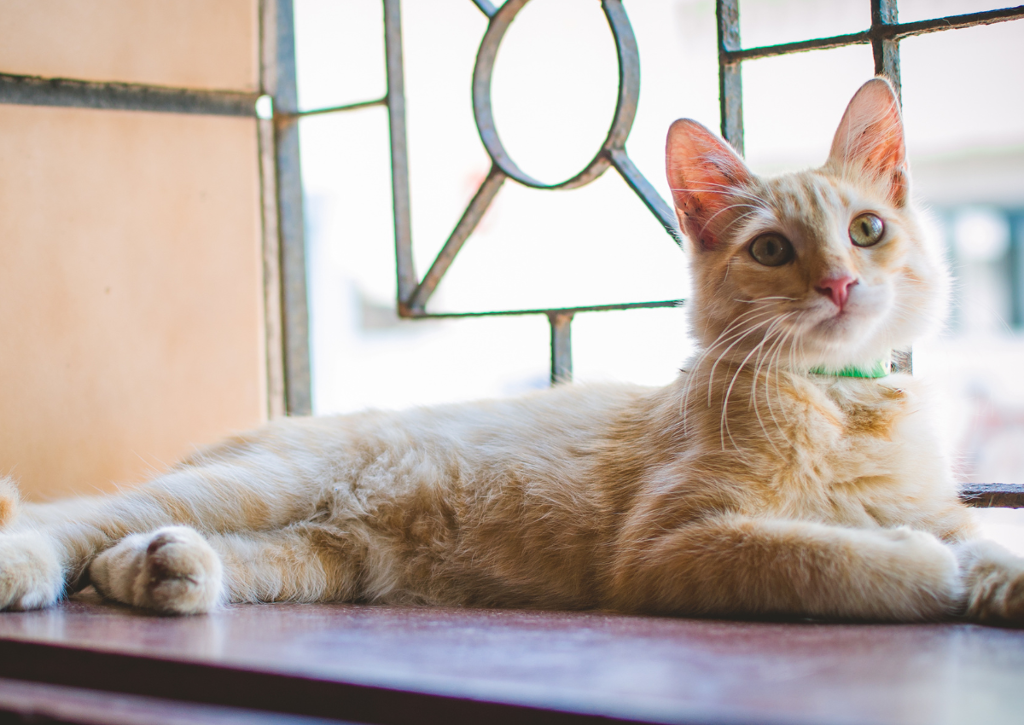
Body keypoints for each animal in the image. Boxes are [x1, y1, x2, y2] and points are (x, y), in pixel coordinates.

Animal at [0, 77, 1019, 622]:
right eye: (773, 249)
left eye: (867, 229)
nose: (841, 283)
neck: (841, 403)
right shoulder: (672, 544)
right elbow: (823, 554)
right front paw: (927, 570)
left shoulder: (935, 503)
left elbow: (976, 543)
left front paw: (990, 575)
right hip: (255, 483)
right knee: (73, 516)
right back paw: (36, 565)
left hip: (320, 555)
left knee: (141, 555)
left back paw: (162, 570)